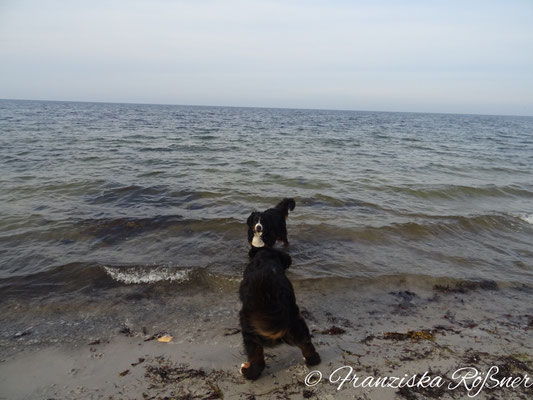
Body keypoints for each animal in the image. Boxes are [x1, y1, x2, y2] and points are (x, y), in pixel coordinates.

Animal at [238, 247, 320, 382]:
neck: (267, 260)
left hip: (250, 335)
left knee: (258, 361)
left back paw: (248, 373)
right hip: (298, 326)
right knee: (307, 345)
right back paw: (313, 359)